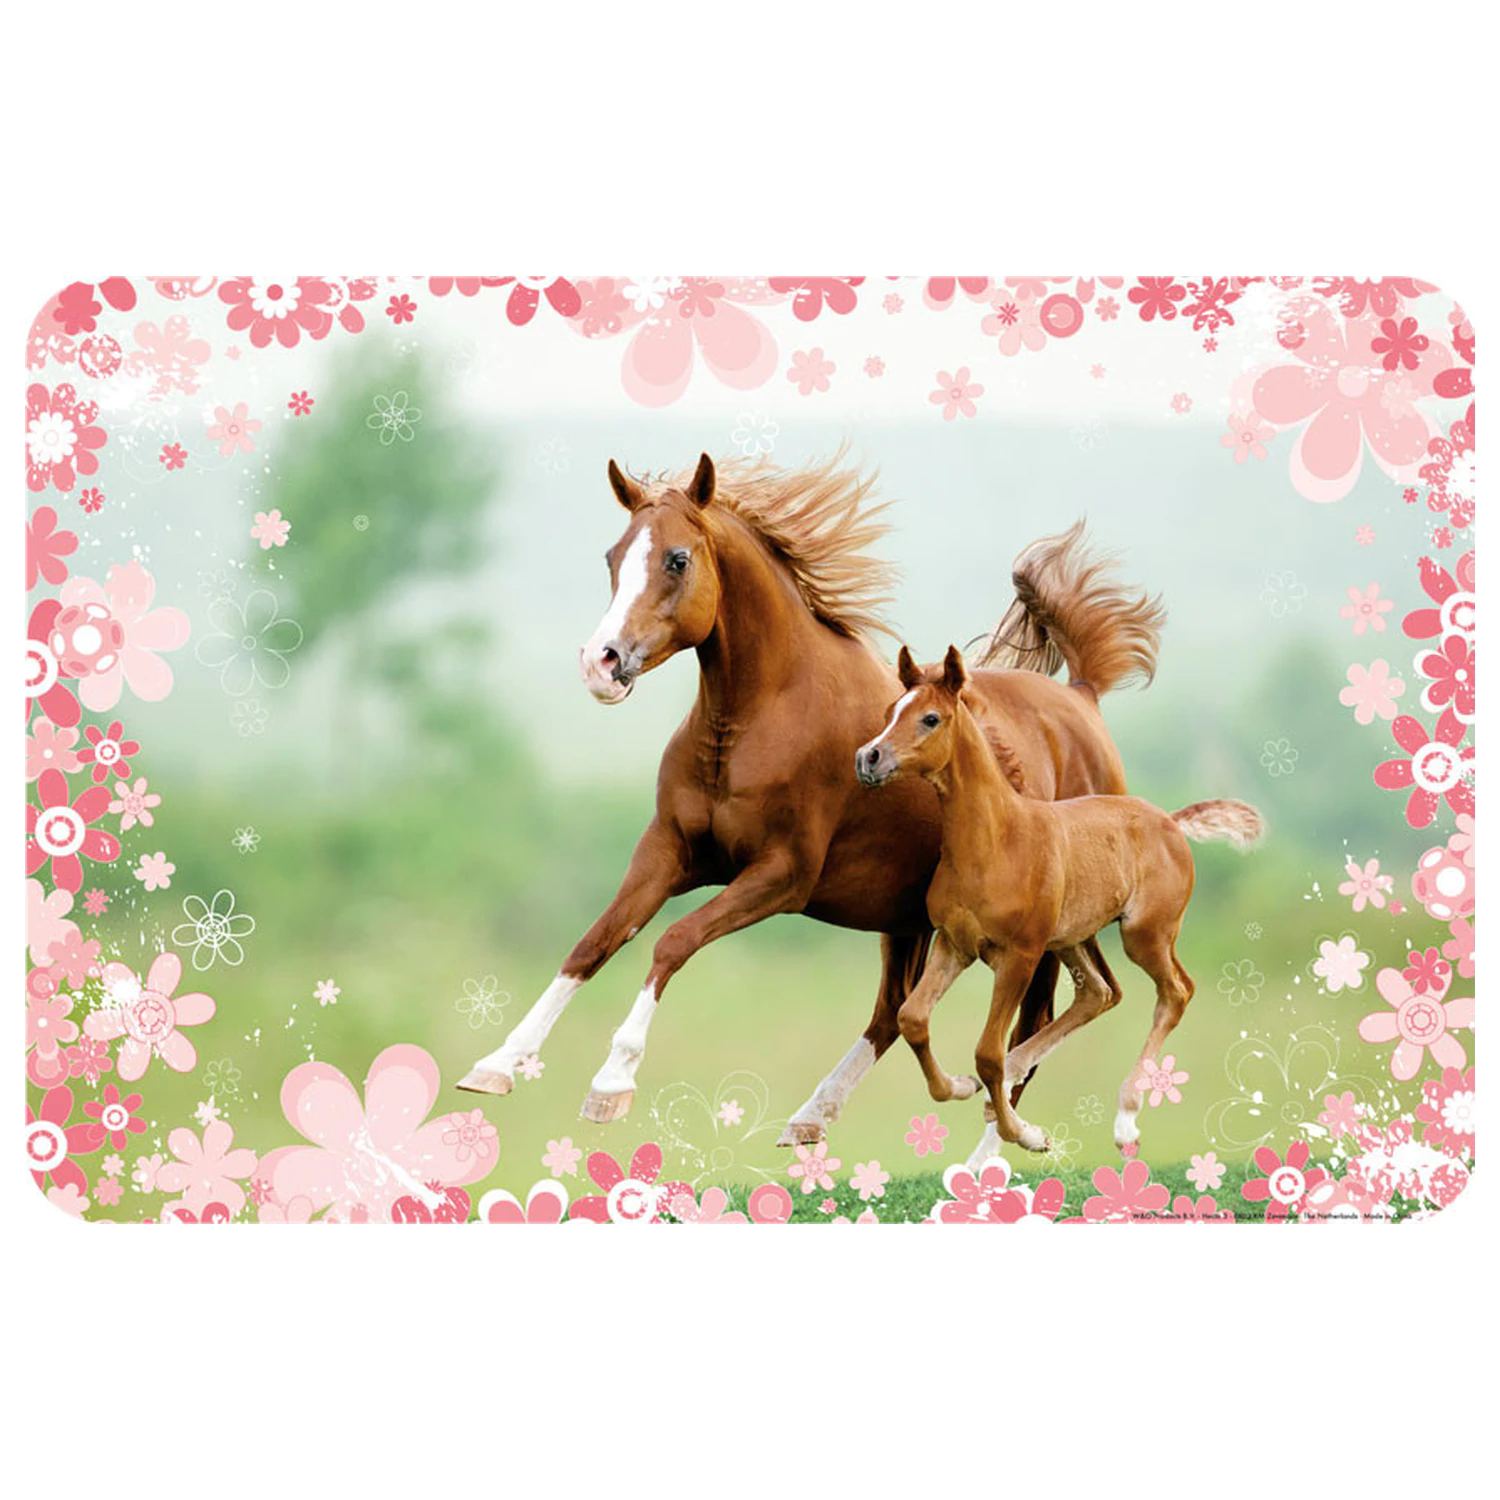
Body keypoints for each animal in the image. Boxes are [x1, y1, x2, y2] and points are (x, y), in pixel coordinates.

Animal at [457, 451, 1165, 1152]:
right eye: (612, 556)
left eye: (677, 559)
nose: (600, 664)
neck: (757, 720)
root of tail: (1080, 697)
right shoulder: (667, 853)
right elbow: (593, 943)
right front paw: (496, 1064)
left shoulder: (781, 876)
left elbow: (672, 943)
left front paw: (612, 1082)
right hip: (907, 916)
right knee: (895, 1012)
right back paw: (813, 1115)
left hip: (1039, 932)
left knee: (1034, 1023)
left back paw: (993, 1153)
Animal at [856, 643, 1263, 1157]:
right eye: (890, 711)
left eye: (930, 718)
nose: (868, 758)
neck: (995, 841)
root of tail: (1170, 822)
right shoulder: (954, 945)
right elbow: (913, 1019)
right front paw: (962, 1087)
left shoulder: (1020, 955)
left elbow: (986, 1052)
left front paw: (1025, 1134)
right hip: (1071, 938)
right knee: (1099, 992)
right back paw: (1011, 1079)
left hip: (1143, 934)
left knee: (1176, 991)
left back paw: (1124, 1120)